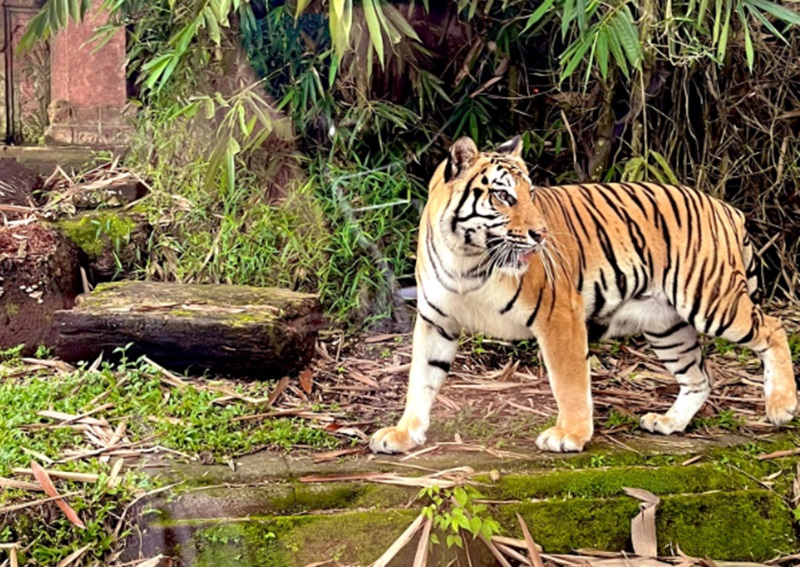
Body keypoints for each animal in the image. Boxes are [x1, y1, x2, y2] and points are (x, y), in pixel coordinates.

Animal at [372, 135, 796, 454]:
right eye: (505, 197)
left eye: (531, 194)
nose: (541, 234)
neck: (466, 257)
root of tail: (726, 207)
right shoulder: (435, 321)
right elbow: (421, 380)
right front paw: (403, 434)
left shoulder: (558, 313)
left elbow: (569, 381)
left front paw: (569, 435)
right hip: (667, 327)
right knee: (698, 376)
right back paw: (669, 422)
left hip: (710, 300)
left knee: (774, 328)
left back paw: (782, 406)